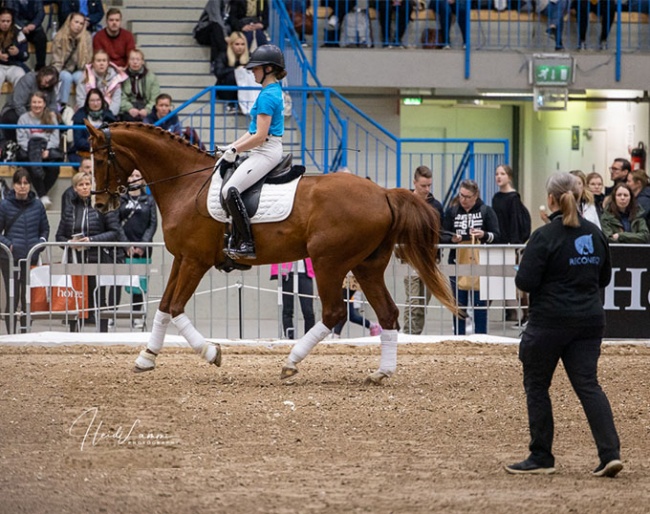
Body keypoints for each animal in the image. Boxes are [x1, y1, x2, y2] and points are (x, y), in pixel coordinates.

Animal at [87, 122, 456, 382]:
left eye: (100, 158)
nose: (100, 204)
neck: (186, 185)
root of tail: (383, 192)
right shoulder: (181, 258)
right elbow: (164, 308)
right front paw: (146, 357)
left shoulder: (195, 261)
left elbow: (176, 308)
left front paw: (211, 352)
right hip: (366, 266)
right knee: (388, 313)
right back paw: (382, 372)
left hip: (328, 262)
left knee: (334, 313)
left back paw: (290, 362)